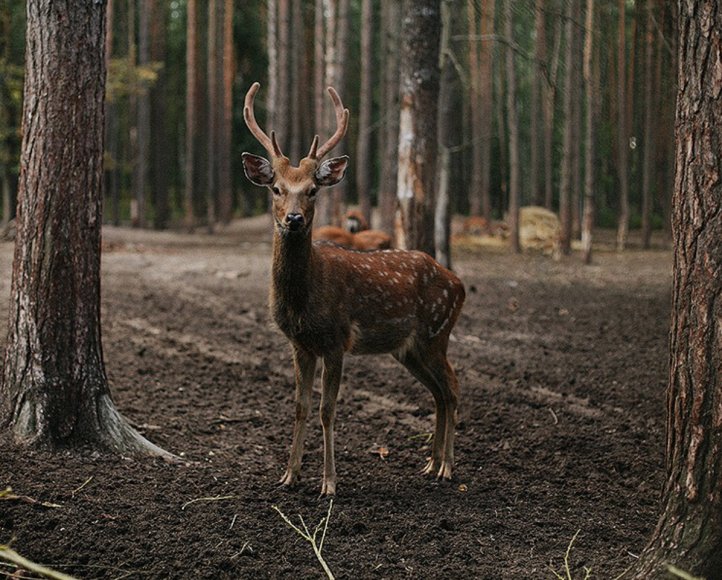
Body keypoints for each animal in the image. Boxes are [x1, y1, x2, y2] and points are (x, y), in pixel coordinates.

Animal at [239, 81, 464, 496]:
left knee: (453, 387)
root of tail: (458, 283)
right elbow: (300, 406)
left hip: (436, 332)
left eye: (313, 189)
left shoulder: (336, 340)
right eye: (276, 188)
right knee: (438, 392)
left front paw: (329, 482)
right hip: (409, 348)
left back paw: (447, 467)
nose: (293, 219)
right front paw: (290, 475)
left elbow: (328, 410)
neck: (303, 300)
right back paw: (430, 463)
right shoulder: (300, 344)